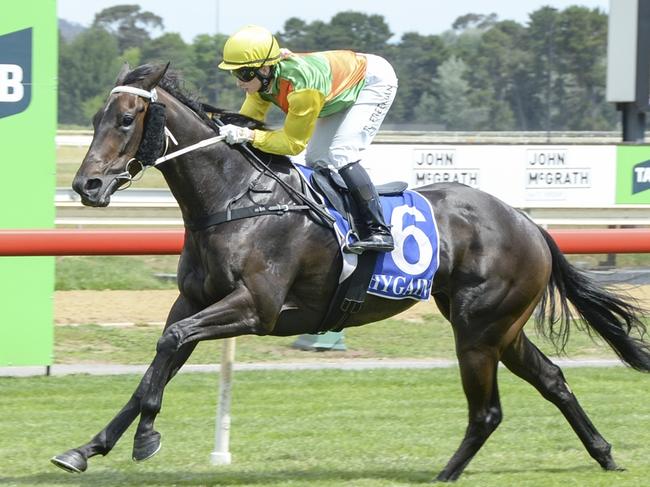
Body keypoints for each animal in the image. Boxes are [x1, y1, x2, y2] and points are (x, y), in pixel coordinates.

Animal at [52, 63, 648, 482]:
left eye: (126, 119)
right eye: (95, 120)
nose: (86, 186)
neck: (236, 199)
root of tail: (527, 221)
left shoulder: (255, 309)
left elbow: (170, 345)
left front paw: (144, 438)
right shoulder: (195, 302)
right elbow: (160, 358)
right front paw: (85, 448)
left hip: (479, 329)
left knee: (488, 412)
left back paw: (445, 475)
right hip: (500, 326)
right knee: (552, 380)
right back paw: (605, 455)